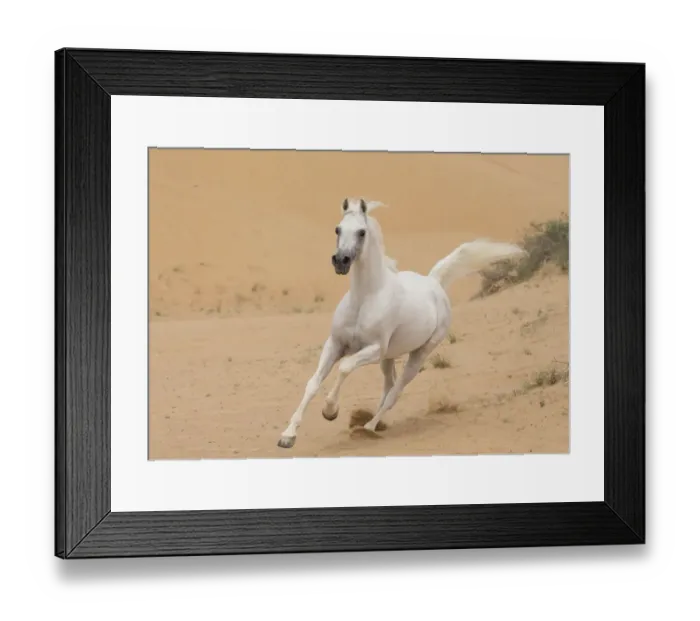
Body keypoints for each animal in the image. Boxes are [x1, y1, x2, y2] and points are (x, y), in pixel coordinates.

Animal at [277, 197, 526, 449]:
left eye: (361, 232)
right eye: (338, 229)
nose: (340, 261)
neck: (365, 298)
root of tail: (434, 283)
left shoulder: (374, 349)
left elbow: (345, 367)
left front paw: (330, 411)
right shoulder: (335, 344)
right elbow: (313, 383)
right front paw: (288, 436)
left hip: (418, 355)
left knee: (395, 392)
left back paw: (369, 428)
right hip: (388, 358)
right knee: (388, 386)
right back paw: (369, 423)